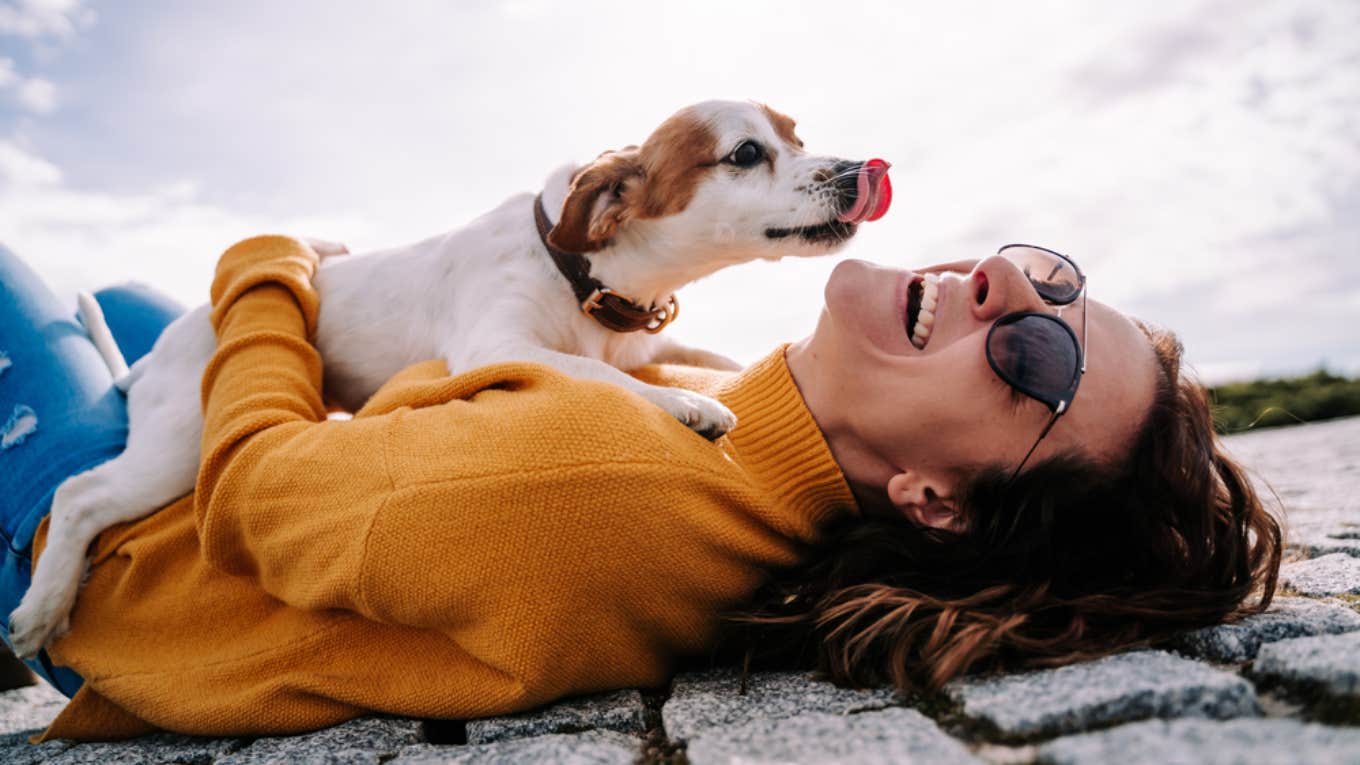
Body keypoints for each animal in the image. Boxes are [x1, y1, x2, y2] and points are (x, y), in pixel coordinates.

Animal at [7, 98, 892, 653]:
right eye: (745, 153)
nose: (860, 169)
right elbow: (595, 373)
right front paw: (682, 404)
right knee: (76, 495)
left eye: (798, 136)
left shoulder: (640, 341)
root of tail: (158, 353)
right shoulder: (497, 344)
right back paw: (41, 610)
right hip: (178, 447)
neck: (584, 273)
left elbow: (708, 361)